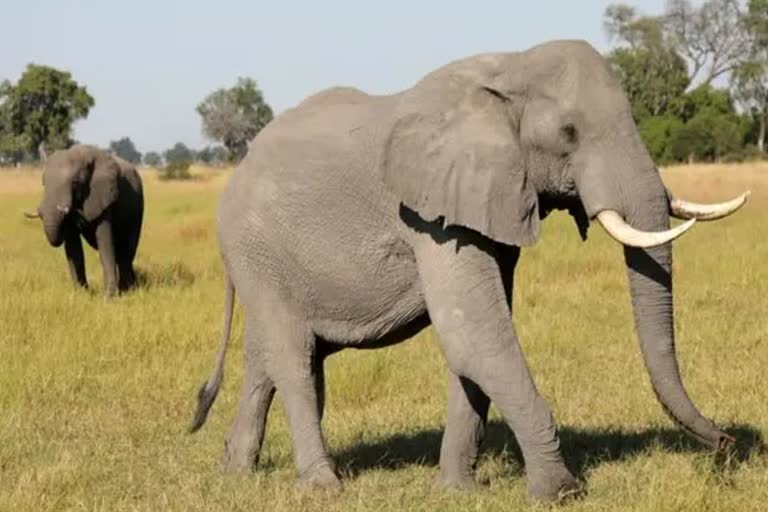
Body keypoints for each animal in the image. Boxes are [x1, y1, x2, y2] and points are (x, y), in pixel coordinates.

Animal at [24, 144, 144, 298]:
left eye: (75, 183)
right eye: (43, 182)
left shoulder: (104, 196)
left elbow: (105, 245)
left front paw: (109, 298)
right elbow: (74, 249)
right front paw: (81, 295)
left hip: (138, 209)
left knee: (126, 251)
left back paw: (128, 289)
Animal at [188, 41, 752, 504]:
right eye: (568, 134)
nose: (726, 445)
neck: (510, 69)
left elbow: (476, 343)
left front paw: (459, 490)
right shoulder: (429, 215)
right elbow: (475, 336)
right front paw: (560, 492)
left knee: (270, 358)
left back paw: (235, 473)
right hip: (254, 248)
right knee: (294, 359)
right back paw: (322, 487)